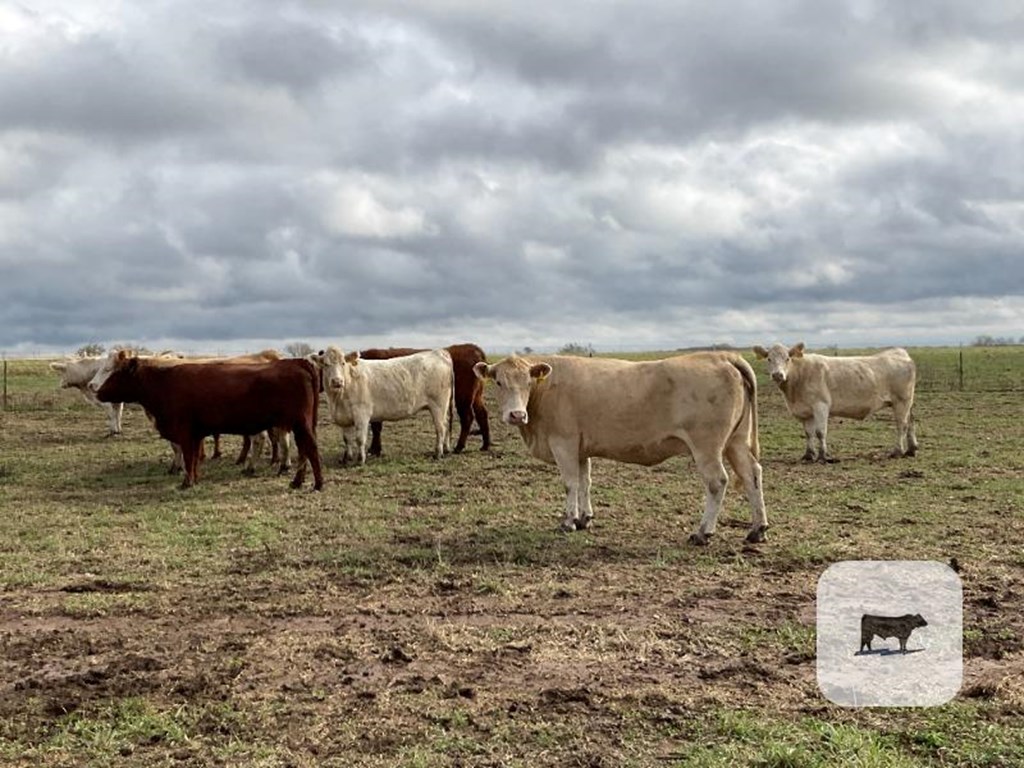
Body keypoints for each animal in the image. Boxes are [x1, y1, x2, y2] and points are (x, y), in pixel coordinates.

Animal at [95, 352, 323, 489]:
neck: (164, 383)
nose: (96, 390)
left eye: (115, 373)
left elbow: (189, 458)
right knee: (303, 449)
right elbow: (194, 458)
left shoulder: (185, 433)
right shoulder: (195, 434)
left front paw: (186, 483)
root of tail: (297, 362)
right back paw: (297, 481)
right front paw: (193, 480)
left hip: (300, 423)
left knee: (310, 448)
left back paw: (317, 484)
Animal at [358, 344, 489, 456]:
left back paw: (459, 447)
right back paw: (485, 445)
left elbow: (376, 427)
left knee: (467, 418)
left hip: (463, 398)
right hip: (476, 397)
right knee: (481, 414)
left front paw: (374, 450)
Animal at [475, 354, 765, 548]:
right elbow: (585, 482)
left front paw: (568, 521)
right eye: (498, 382)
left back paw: (703, 532)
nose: (516, 415)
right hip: (736, 442)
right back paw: (757, 529)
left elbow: (570, 483)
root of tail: (721, 356)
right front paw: (585, 518)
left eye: (528, 382)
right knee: (752, 474)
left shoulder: (563, 442)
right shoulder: (581, 448)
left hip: (707, 446)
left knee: (717, 482)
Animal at [753, 344, 921, 462]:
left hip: (901, 401)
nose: (777, 375)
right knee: (911, 421)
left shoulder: (821, 406)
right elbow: (808, 433)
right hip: (908, 402)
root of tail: (899, 352)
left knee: (902, 425)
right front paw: (808, 455)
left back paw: (897, 451)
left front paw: (823, 456)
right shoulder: (805, 411)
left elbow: (820, 432)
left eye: (787, 358)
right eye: (769, 359)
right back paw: (911, 449)